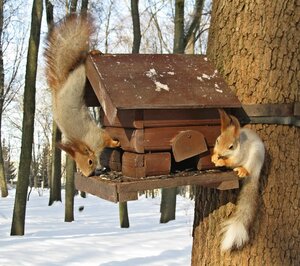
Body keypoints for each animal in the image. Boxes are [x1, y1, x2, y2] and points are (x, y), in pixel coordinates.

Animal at [44, 14, 119, 177]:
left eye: (90, 162)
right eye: (79, 167)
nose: (89, 175)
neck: (83, 142)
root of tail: (61, 85)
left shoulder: (97, 136)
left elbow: (107, 139)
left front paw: (116, 142)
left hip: (79, 76)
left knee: (82, 63)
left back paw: (93, 53)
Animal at [211, 108, 264, 251]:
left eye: (231, 146)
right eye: (217, 140)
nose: (219, 154)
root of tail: (256, 173)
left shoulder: (239, 155)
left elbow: (231, 161)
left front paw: (221, 162)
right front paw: (214, 157)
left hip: (255, 157)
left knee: (247, 169)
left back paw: (242, 170)